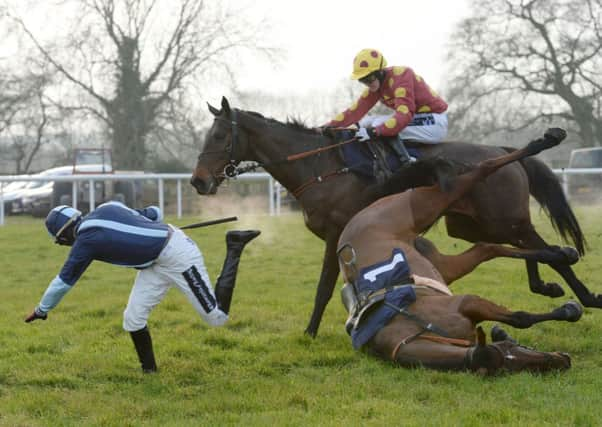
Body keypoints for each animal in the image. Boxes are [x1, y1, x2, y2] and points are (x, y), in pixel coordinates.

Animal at [189, 97, 600, 338]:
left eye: (220, 135)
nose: (198, 181)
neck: (321, 167)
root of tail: (499, 147)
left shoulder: (337, 233)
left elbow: (323, 288)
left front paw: (310, 331)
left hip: (498, 216)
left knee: (537, 245)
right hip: (475, 223)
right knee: (525, 245)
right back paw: (552, 283)